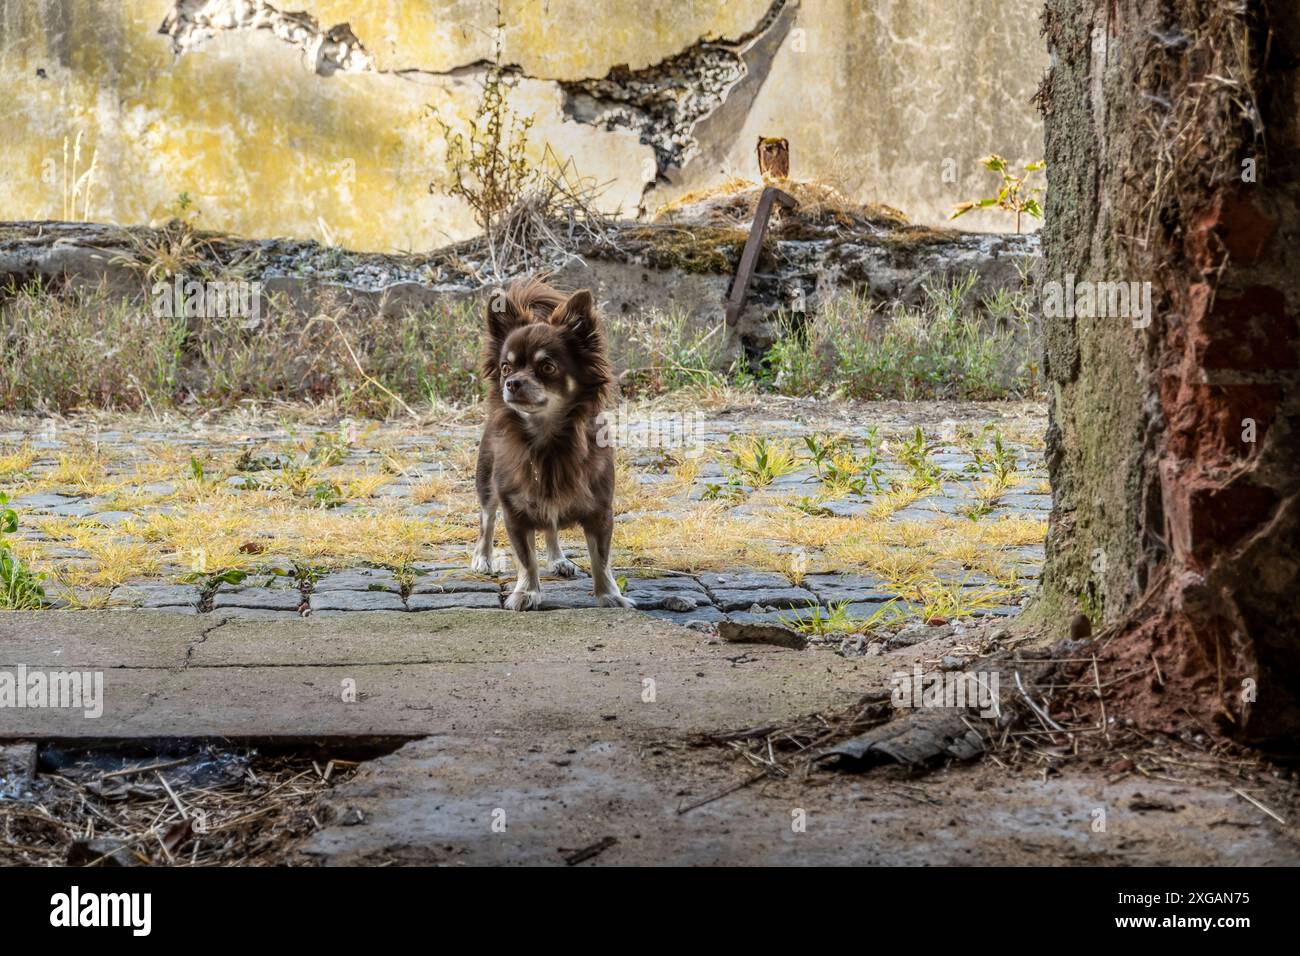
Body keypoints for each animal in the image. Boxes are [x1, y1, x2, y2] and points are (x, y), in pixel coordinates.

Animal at [473, 277, 634, 613]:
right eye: (505, 368)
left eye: (547, 367)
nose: (512, 383)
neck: (547, 440)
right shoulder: (514, 512)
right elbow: (525, 558)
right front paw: (526, 592)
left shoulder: (601, 511)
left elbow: (600, 559)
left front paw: (609, 595)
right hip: (486, 482)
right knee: (486, 519)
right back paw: (483, 558)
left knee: (550, 527)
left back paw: (558, 558)